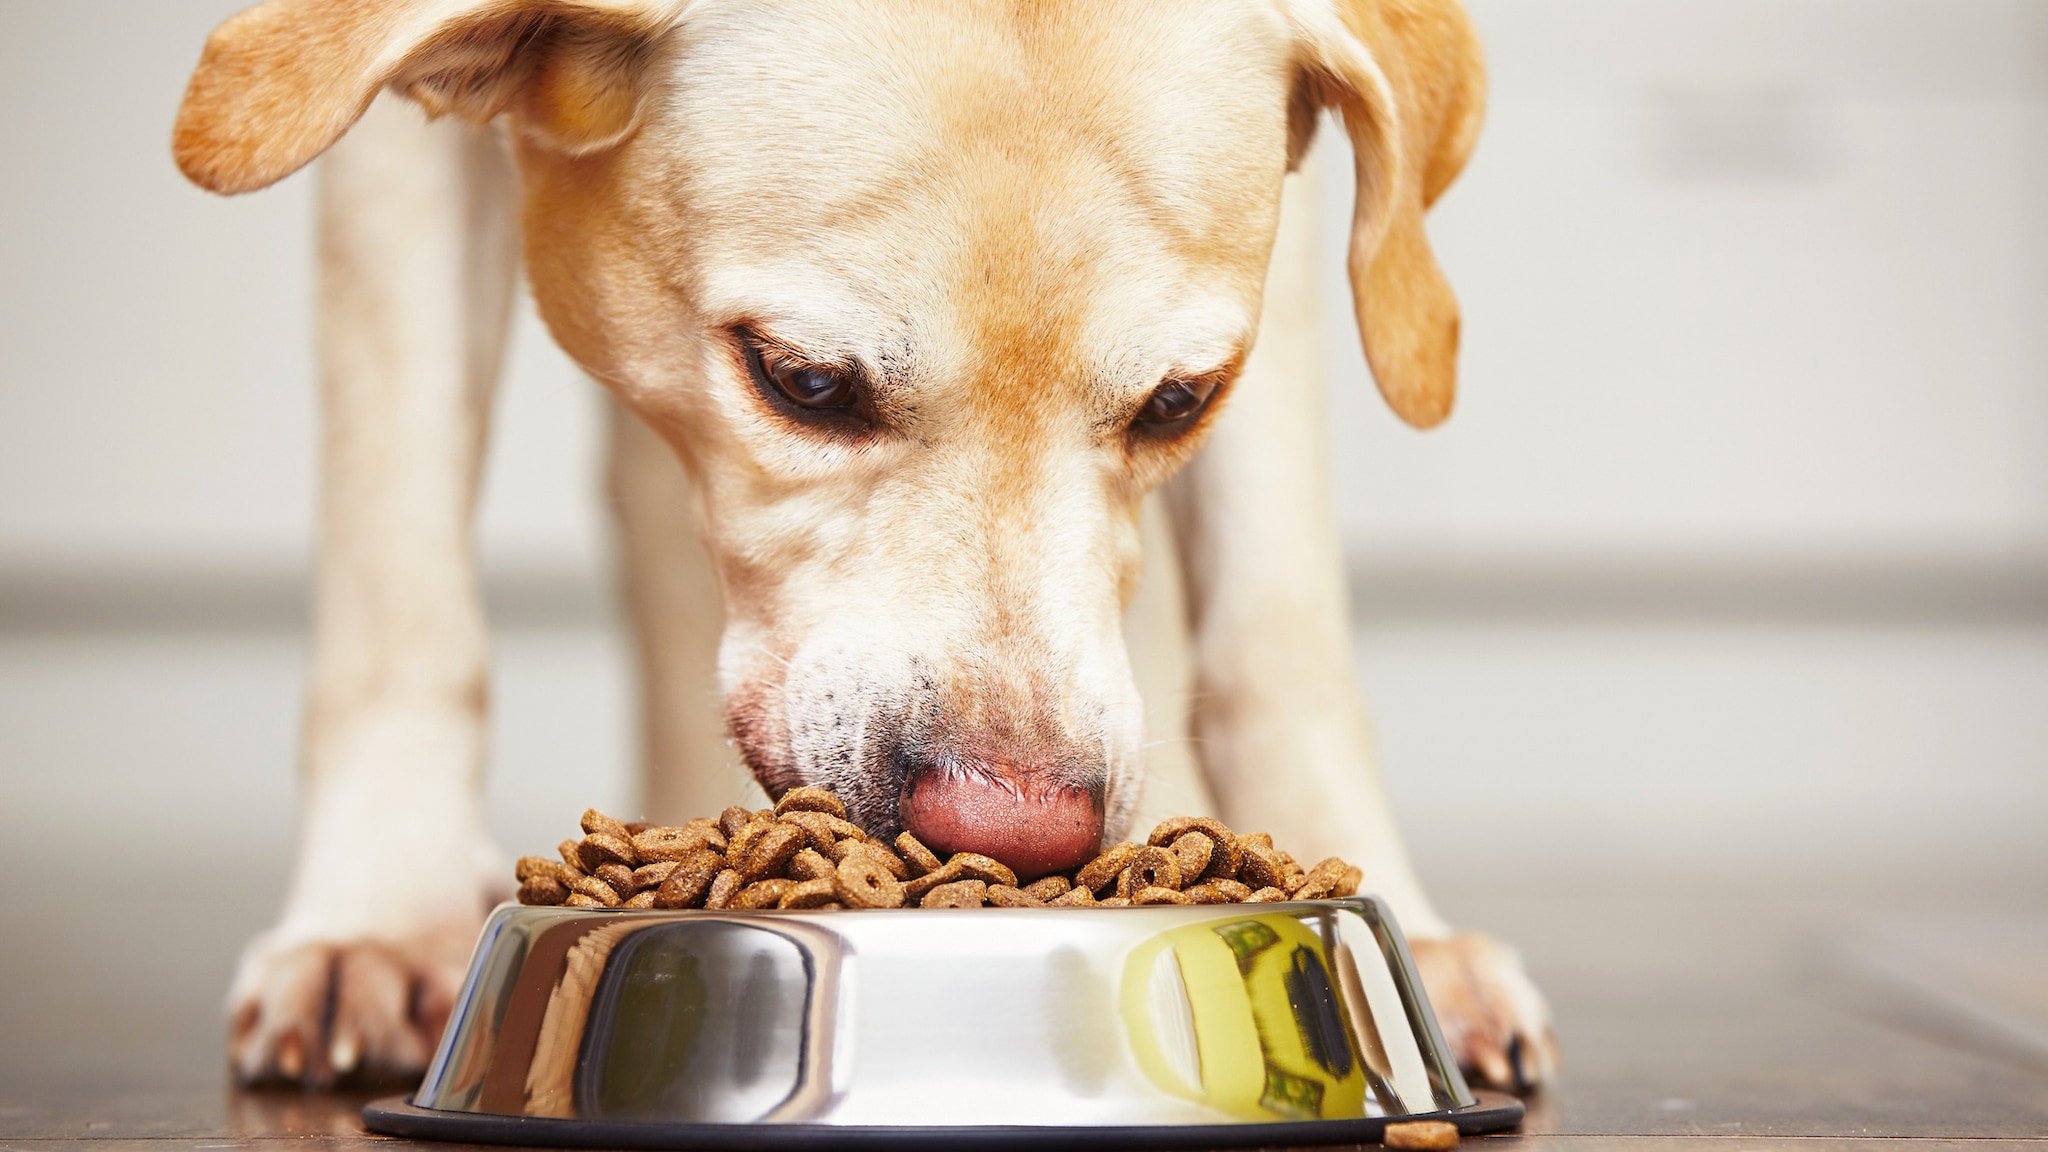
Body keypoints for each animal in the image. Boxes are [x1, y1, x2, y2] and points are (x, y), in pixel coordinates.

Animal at [172, 0, 1548, 1090]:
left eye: (1176, 402)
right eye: (802, 383)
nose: (1015, 832)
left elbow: (1280, 622)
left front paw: (1390, 923)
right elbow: (398, 571)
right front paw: (379, 918)